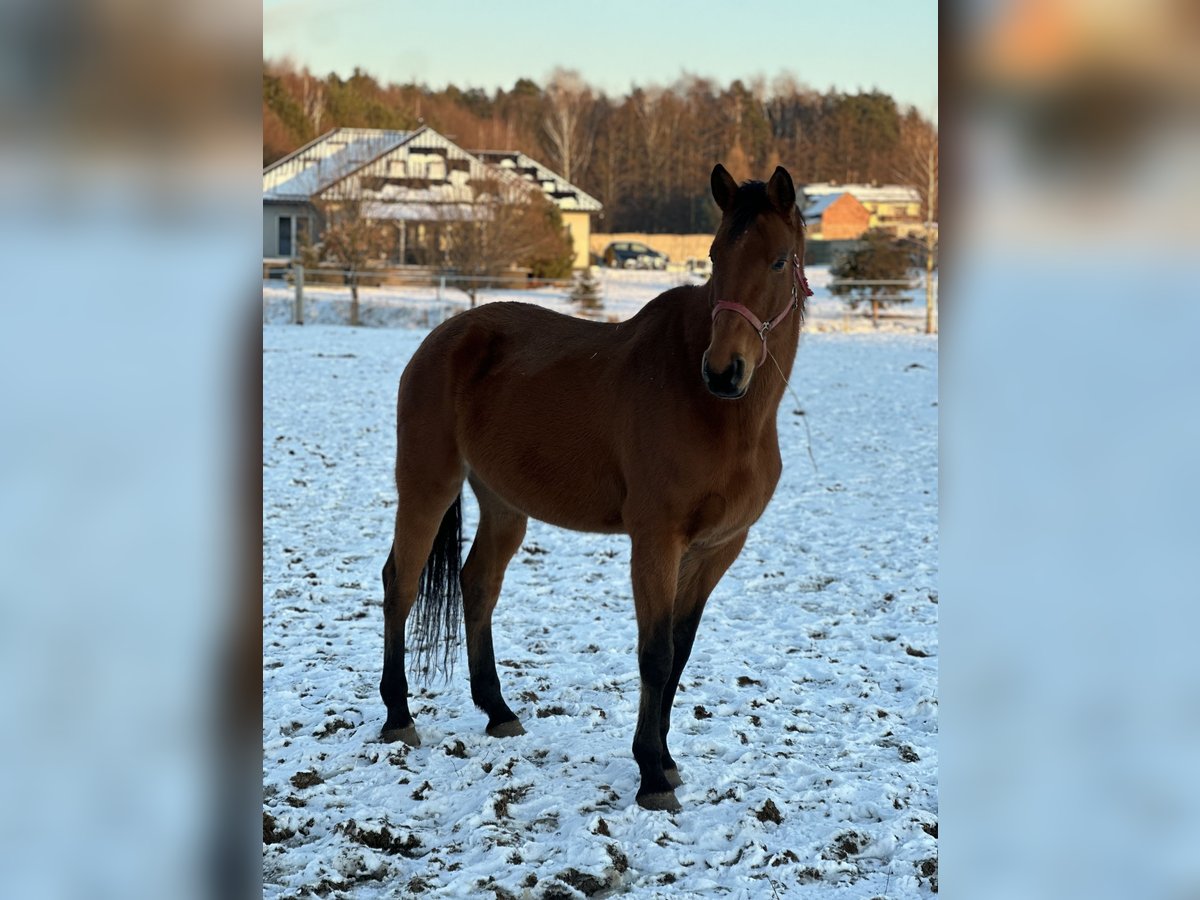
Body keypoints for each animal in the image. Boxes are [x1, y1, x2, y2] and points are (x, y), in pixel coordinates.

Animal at [379, 165, 811, 816]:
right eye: (715, 256)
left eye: (780, 260)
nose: (723, 370)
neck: (719, 414)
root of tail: (444, 336)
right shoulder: (655, 542)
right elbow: (655, 655)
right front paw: (651, 775)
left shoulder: (716, 549)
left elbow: (679, 653)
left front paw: (666, 760)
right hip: (427, 484)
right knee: (399, 585)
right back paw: (398, 717)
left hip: (504, 505)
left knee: (477, 585)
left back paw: (498, 712)